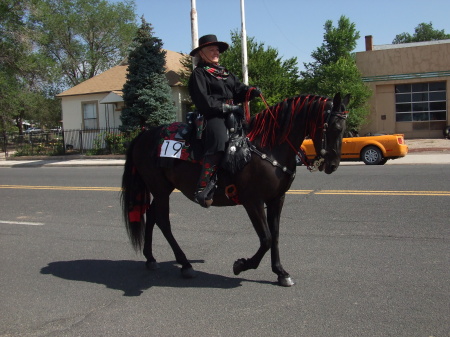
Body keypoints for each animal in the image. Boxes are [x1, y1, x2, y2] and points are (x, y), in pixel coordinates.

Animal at [121, 92, 350, 286]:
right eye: (336, 128)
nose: (333, 165)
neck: (267, 147)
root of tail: (143, 135)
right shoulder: (253, 201)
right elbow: (266, 239)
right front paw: (242, 265)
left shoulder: (277, 199)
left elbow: (275, 235)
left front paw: (281, 272)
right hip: (159, 189)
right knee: (163, 221)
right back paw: (185, 264)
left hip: (162, 189)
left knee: (152, 216)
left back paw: (151, 258)